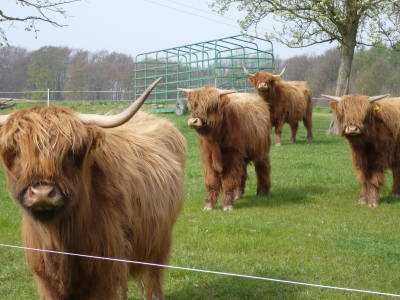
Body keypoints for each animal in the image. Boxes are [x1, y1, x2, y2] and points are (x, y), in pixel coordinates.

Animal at [0, 78, 188, 300]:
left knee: (154, 275)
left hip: (159, 237)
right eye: (15, 149)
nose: (42, 194)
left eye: (71, 152)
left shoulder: (105, 272)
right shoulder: (47, 278)